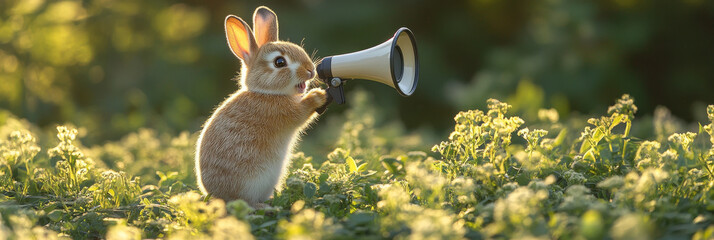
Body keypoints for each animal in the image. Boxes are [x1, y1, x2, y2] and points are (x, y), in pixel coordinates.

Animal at [195, 6, 328, 208]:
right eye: (279, 62)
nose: (310, 70)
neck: (266, 92)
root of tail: (218, 196)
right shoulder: (282, 113)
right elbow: (302, 112)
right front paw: (318, 96)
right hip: (251, 182)